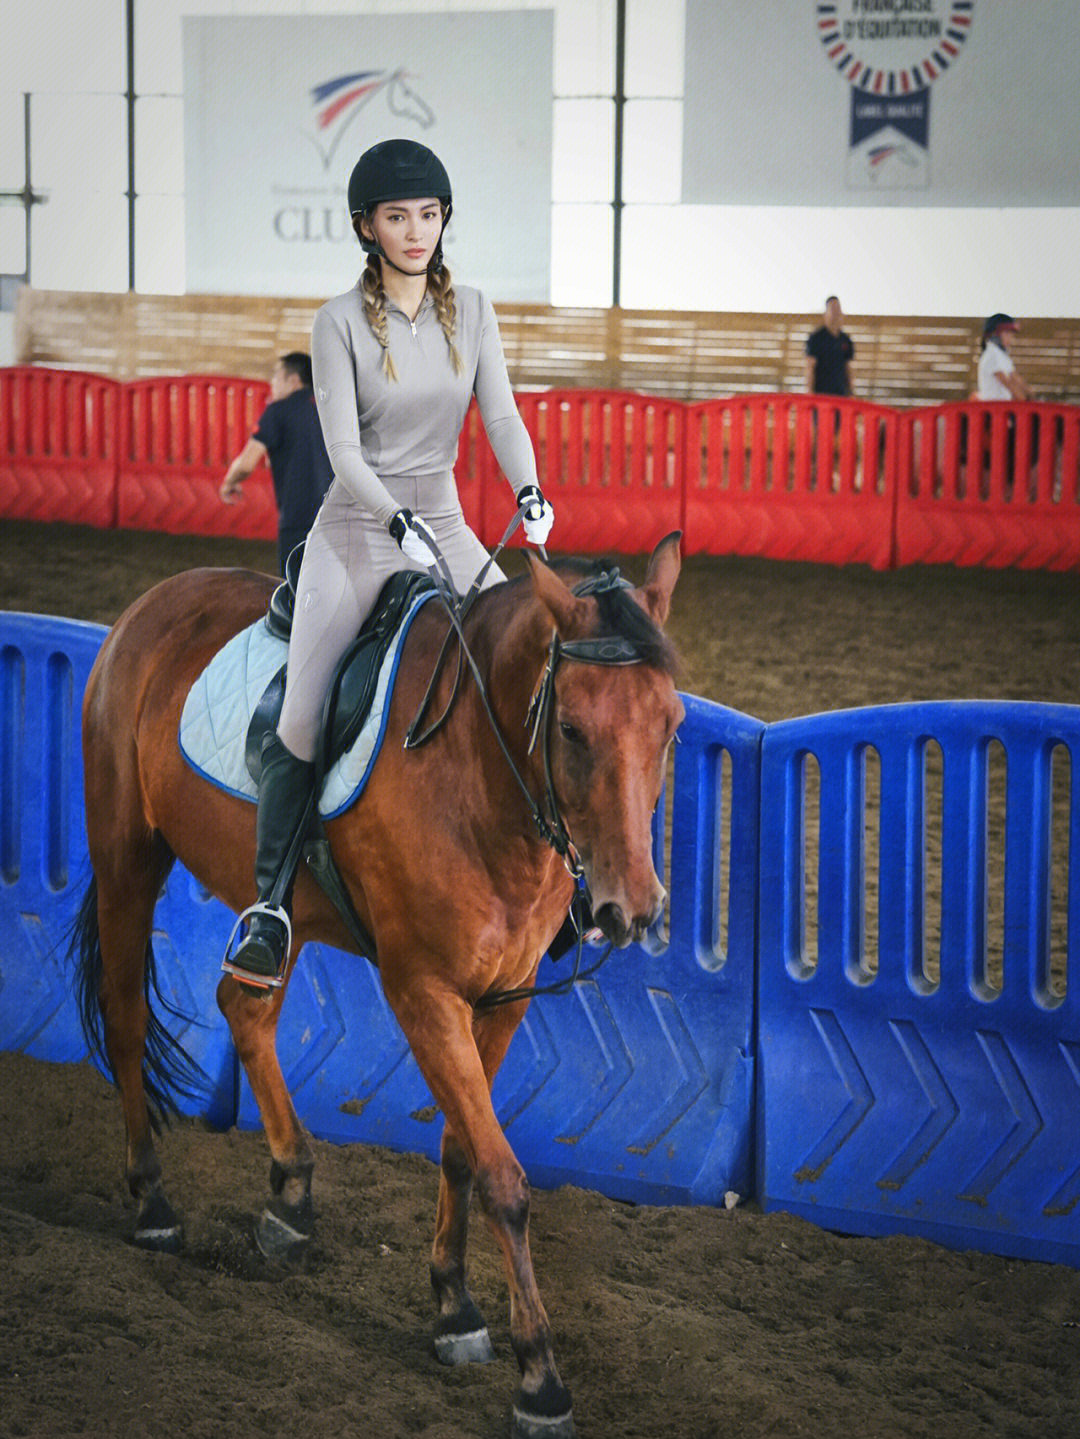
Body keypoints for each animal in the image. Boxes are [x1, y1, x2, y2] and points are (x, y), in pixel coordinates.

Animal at [74, 532, 684, 1439]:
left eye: (673, 726)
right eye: (572, 727)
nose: (631, 908)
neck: (479, 775)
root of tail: (154, 602)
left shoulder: (501, 997)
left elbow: (463, 1148)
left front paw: (455, 1306)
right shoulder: (423, 991)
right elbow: (504, 1177)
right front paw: (539, 1377)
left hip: (278, 906)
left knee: (244, 1007)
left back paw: (291, 1193)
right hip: (128, 855)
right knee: (124, 1021)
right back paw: (152, 1205)